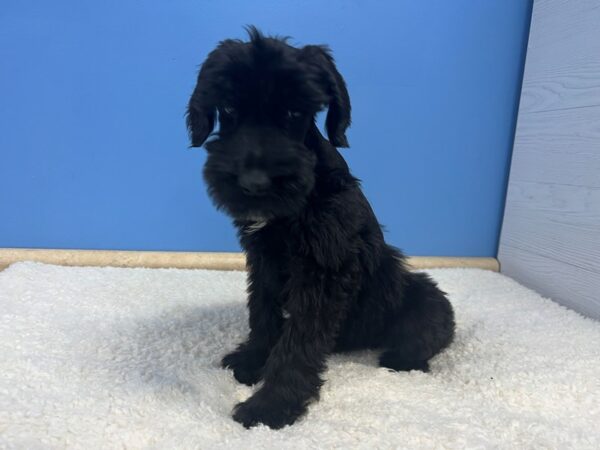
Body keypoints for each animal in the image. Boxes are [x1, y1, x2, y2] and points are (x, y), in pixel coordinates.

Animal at [185, 27, 452, 428]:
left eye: (295, 111)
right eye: (228, 108)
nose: (253, 183)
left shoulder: (323, 273)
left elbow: (298, 343)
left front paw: (270, 406)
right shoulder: (262, 261)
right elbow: (261, 313)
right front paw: (252, 360)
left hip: (425, 296)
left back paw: (400, 361)